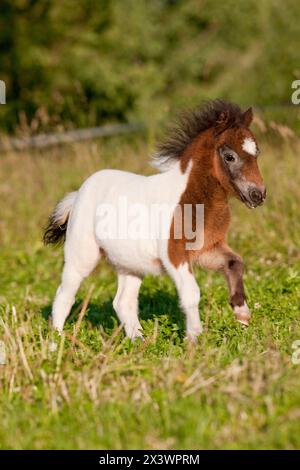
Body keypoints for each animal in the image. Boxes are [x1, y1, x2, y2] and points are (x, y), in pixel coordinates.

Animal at [44, 101, 264, 340]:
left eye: (257, 152)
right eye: (230, 156)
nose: (258, 195)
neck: (192, 200)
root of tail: (77, 194)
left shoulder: (206, 250)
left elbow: (235, 262)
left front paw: (242, 314)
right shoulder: (174, 254)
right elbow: (191, 292)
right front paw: (194, 338)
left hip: (130, 263)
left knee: (123, 302)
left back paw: (140, 341)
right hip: (82, 254)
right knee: (65, 295)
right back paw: (57, 339)